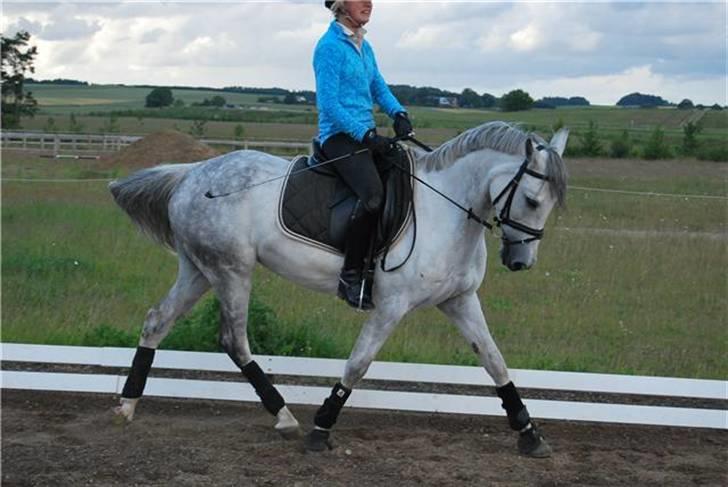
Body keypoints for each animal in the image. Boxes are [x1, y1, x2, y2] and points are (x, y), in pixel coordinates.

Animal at [109, 122, 568, 458]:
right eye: (531, 199)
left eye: (549, 204)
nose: (521, 262)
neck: (447, 210)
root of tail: (190, 174)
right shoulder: (391, 306)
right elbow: (357, 364)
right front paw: (322, 427)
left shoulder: (459, 300)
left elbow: (495, 362)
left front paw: (529, 433)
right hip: (231, 271)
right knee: (233, 340)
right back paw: (285, 417)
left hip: (199, 270)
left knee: (157, 321)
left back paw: (127, 405)